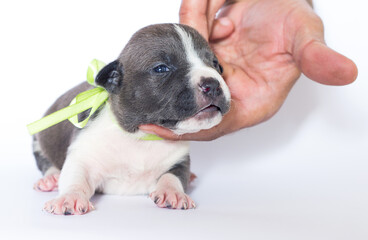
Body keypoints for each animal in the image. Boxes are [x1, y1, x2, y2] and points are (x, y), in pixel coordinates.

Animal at [33, 23, 231, 216]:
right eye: (161, 68)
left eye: (216, 64)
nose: (213, 84)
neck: (140, 138)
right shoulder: (83, 156)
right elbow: (75, 178)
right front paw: (70, 197)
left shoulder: (178, 161)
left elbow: (172, 176)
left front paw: (173, 192)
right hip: (39, 138)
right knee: (44, 160)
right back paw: (50, 178)